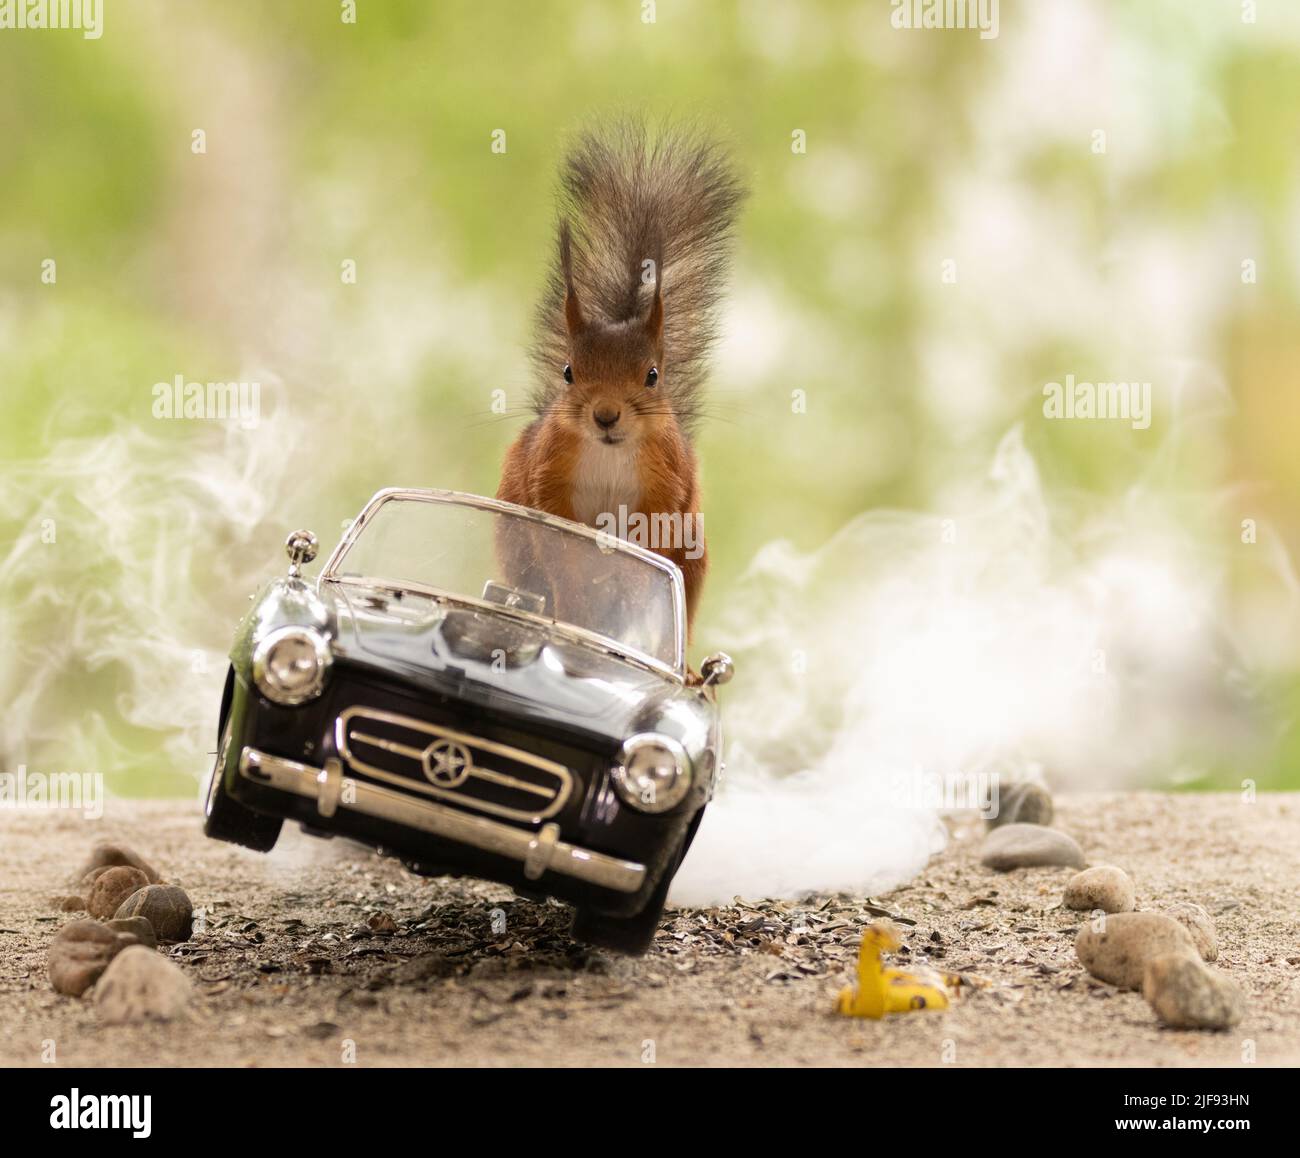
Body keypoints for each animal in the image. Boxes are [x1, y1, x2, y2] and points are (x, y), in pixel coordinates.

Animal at [498, 120, 745, 637]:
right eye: (568, 372)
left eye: (652, 375)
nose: (606, 415)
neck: (609, 455)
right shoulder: (548, 474)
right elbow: (560, 548)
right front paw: (575, 597)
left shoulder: (667, 482)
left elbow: (650, 541)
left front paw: (630, 587)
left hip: (694, 558)